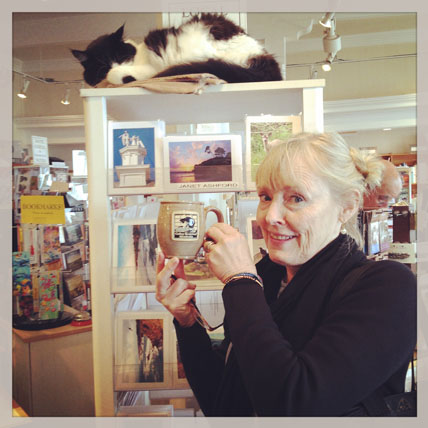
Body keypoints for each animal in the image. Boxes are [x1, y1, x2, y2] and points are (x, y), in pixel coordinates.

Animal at [71, 12, 282, 86]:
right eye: (103, 65)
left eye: (120, 56)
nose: (117, 65)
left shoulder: (149, 69)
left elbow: (118, 76)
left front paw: (116, 74)